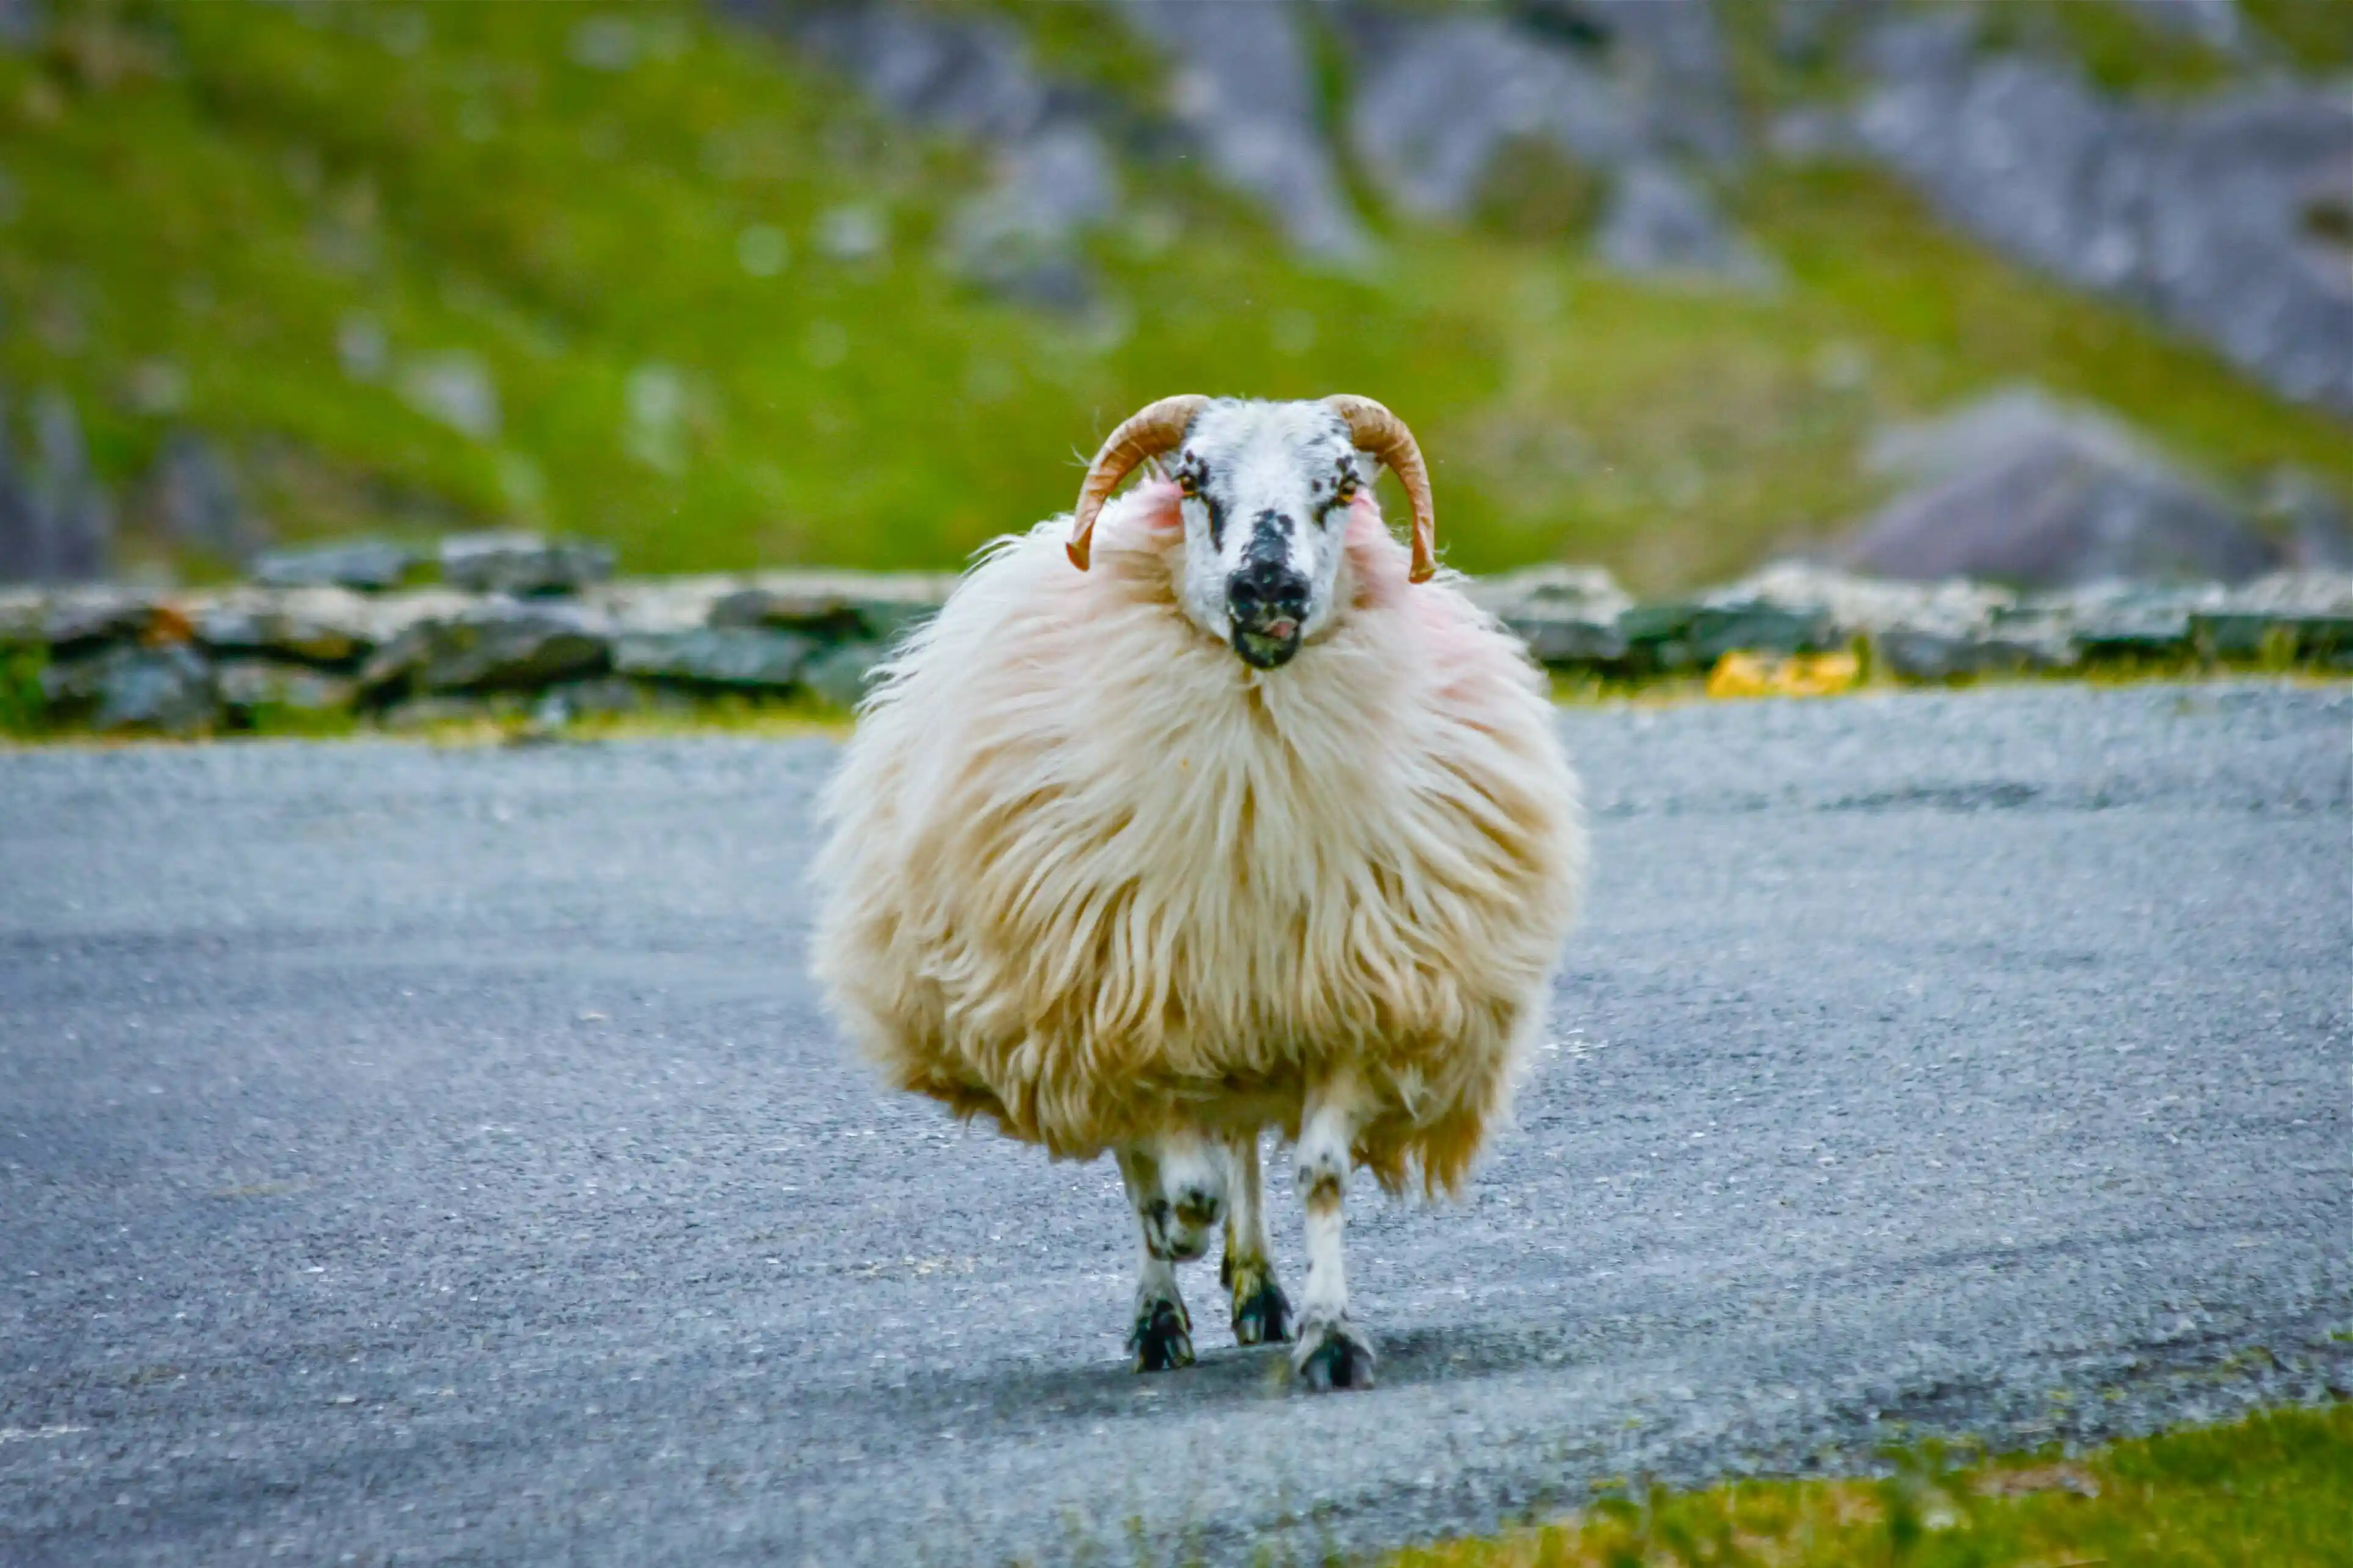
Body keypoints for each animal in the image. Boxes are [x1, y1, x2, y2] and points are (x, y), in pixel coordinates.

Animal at [805, 399, 1581, 1392]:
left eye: (1343, 485)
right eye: (1190, 479)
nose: (1266, 588)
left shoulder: (1350, 998)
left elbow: (1317, 1174)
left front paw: (1330, 1337)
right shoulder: (1128, 1006)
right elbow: (1170, 1179)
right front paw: (1177, 1249)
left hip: (1246, 1010)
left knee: (1240, 1149)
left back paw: (1257, 1289)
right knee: (1148, 1165)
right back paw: (1160, 1317)